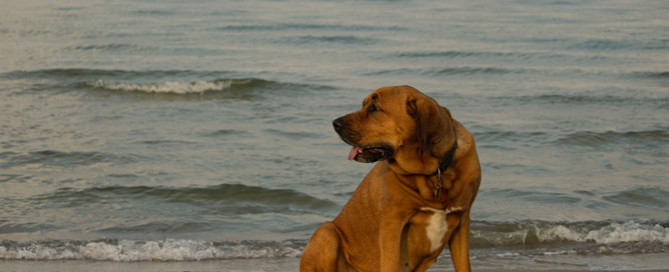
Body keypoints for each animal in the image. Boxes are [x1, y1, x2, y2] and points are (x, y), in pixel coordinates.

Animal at [298, 85, 480, 272]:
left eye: (374, 108)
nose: (335, 123)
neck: (434, 172)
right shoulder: (392, 222)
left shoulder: (462, 220)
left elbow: (464, 264)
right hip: (327, 232)